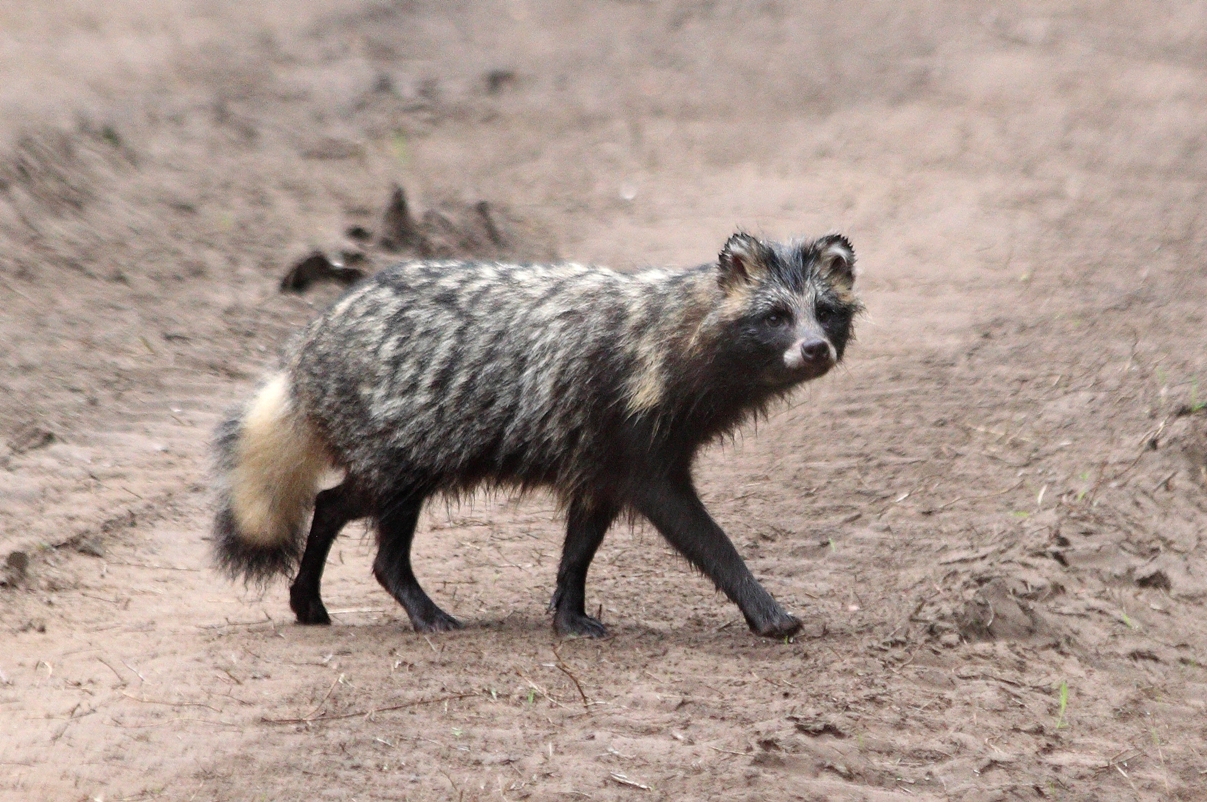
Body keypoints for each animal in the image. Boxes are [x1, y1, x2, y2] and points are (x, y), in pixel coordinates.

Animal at [214, 231, 859, 637]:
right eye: (775, 316)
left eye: (826, 312)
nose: (815, 349)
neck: (669, 334)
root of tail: (306, 347)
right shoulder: (640, 452)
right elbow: (709, 540)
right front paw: (765, 610)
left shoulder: (602, 461)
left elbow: (578, 550)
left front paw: (568, 615)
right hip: (405, 446)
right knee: (377, 547)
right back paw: (420, 611)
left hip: (397, 455)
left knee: (330, 503)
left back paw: (308, 599)